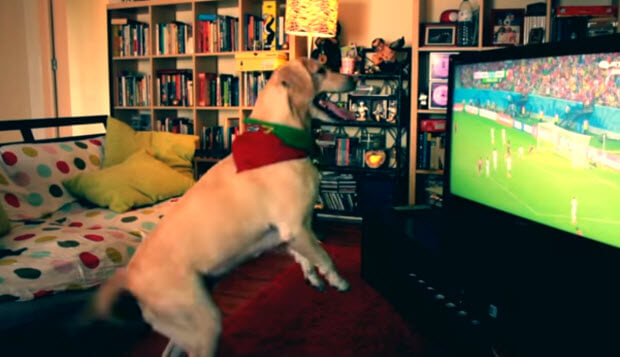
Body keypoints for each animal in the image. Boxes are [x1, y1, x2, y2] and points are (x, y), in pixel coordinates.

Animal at [97, 57, 358, 354]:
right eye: (321, 71)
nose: (355, 77)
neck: (278, 136)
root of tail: (129, 276)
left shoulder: (295, 230)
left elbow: (305, 255)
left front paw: (312, 277)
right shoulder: (295, 226)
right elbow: (324, 255)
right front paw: (338, 281)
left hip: (187, 324)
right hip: (204, 321)